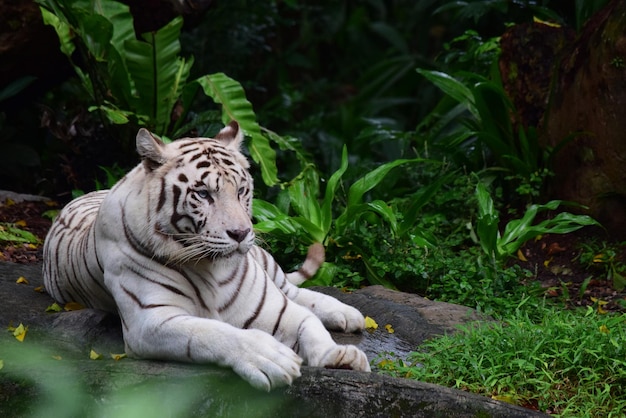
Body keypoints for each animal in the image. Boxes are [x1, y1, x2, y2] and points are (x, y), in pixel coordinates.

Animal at [44, 122, 368, 390]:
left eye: (241, 190)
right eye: (202, 194)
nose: (241, 233)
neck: (211, 268)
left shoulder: (276, 308)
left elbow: (309, 323)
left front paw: (338, 355)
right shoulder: (149, 321)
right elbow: (211, 332)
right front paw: (270, 357)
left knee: (292, 290)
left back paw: (348, 314)